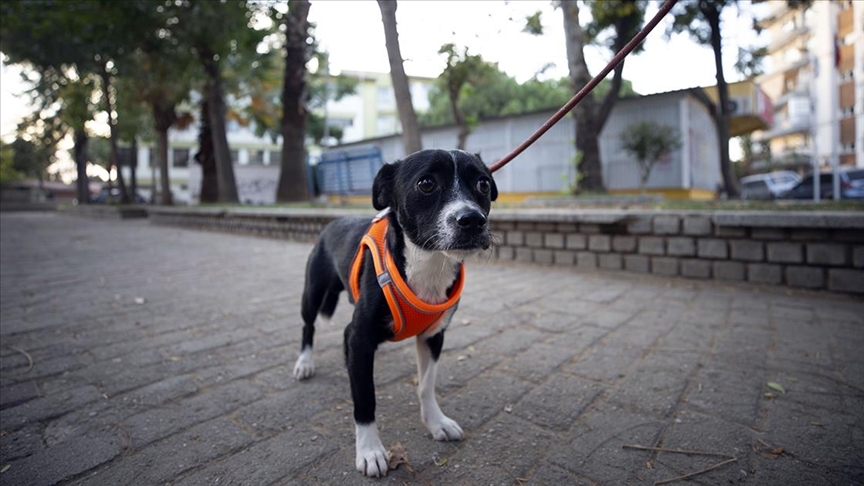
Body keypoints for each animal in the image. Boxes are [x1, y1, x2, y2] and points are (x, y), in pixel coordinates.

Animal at [294, 148, 496, 474]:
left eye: (483, 184)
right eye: (426, 183)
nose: (473, 220)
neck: (428, 265)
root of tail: (334, 222)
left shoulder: (433, 336)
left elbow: (426, 385)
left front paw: (436, 422)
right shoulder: (360, 337)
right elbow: (365, 397)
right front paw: (370, 451)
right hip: (312, 292)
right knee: (308, 326)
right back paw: (304, 363)